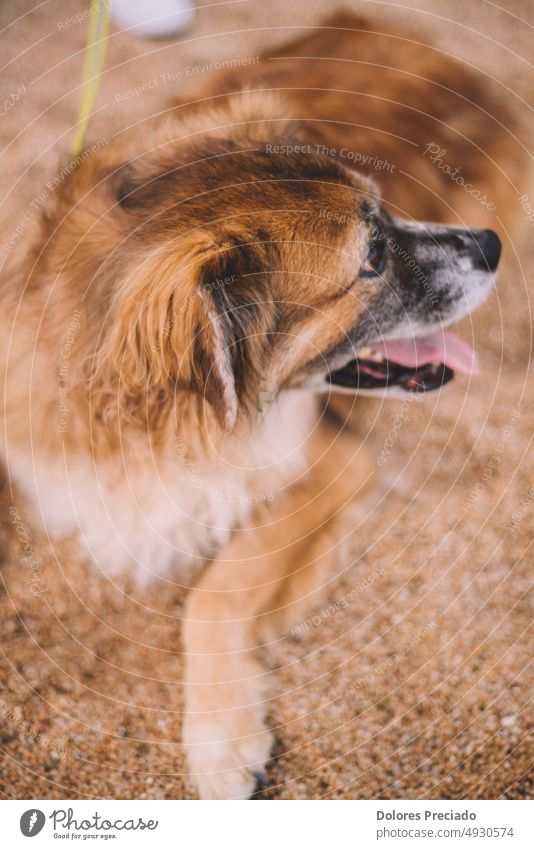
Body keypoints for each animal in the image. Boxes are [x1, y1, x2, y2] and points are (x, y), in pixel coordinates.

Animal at [0, 11, 528, 796]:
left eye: (386, 211)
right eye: (373, 256)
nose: (488, 246)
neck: (150, 428)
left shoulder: (327, 463)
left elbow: (215, 590)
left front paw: (219, 739)